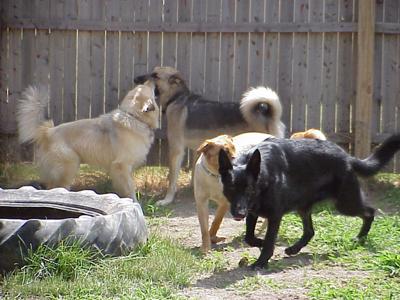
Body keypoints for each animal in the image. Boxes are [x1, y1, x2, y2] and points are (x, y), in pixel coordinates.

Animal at [16, 81, 159, 200]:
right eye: (145, 87)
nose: (151, 78)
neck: (134, 117)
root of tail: (48, 132)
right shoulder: (121, 166)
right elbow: (129, 189)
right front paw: (134, 203)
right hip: (69, 166)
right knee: (57, 187)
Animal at [136, 66, 286, 205]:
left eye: (155, 75)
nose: (135, 79)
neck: (177, 98)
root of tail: (268, 115)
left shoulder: (176, 150)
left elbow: (172, 179)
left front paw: (167, 200)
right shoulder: (197, 149)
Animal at [217, 135, 400, 268]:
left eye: (248, 189)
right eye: (231, 189)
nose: (239, 213)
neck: (264, 174)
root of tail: (347, 157)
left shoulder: (274, 216)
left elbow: (269, 241)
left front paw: (261, 261)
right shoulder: (253, 211)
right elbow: (249, 236)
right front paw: (259, 243)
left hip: (345, 203)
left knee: (369, 212)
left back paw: (360, 239)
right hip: (303, 207)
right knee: (310, 231)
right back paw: (294, 249)